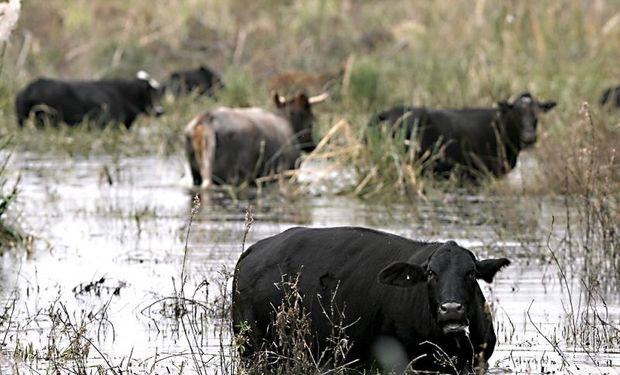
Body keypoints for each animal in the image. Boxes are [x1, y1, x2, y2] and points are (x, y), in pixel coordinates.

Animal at [185, 92, 330, 187]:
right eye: (312, 121)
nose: (313, 146)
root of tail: (206, 120)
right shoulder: (289, 171)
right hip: (235, 176)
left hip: (196, 173)